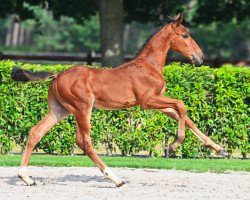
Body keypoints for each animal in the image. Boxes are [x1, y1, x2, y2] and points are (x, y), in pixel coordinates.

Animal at [12, 13, 229, 187]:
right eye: (185, 35)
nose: (200, 57)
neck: (148, 65)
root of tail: (57, 75)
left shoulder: (157, 102)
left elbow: (185, 117)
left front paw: (220, 150)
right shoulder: (148, 101)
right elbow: (181, 105)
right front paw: (173, 145)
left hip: (59, 111)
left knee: (36, 132)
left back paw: (26, 177)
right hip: (82, 108)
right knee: (84, 142)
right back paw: (115, 179)